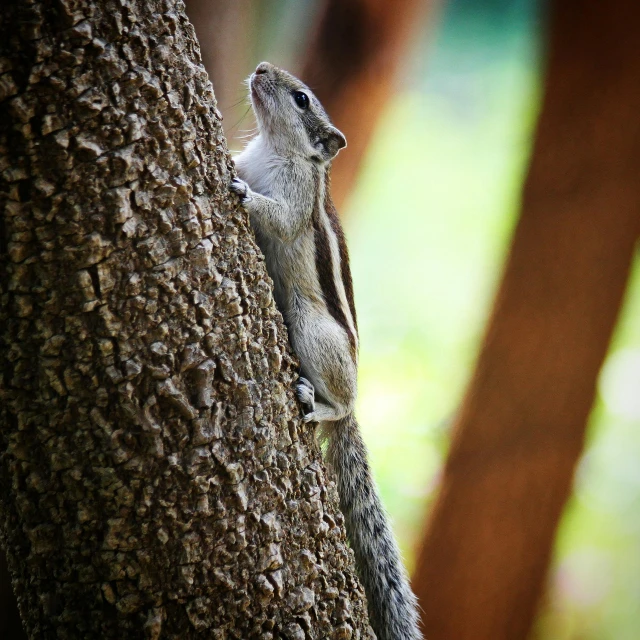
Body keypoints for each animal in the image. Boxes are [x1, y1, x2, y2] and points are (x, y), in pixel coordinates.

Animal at [231, 61, 424, 640]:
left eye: (300, 99)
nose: (261, 67)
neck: (273, 148)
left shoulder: (295, 199)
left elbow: (277, 216)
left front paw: (240, 191)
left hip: (311, 328)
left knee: (338, 403)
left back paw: (321, 405)